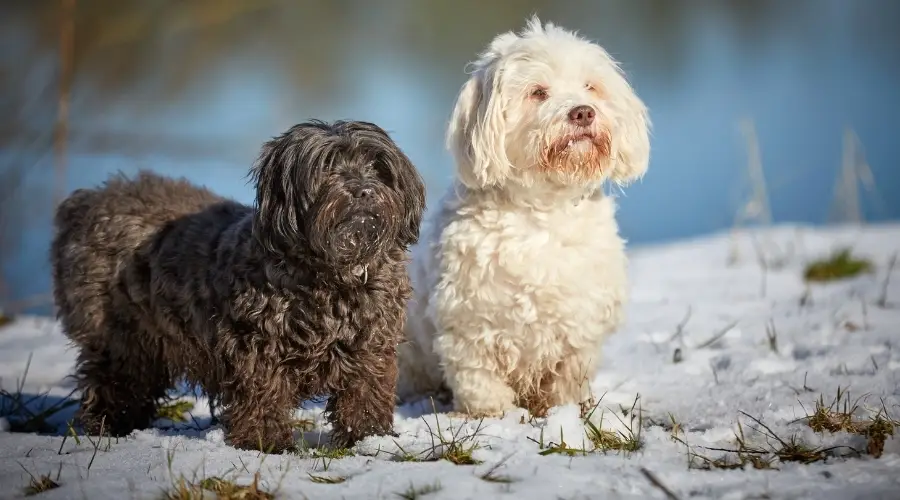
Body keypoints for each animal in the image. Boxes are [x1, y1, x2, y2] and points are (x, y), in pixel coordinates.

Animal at [400, 16, 648, 418]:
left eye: (590, 86)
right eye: (538, 92)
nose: (583, 112)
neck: (544, 211)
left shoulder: (580, 326)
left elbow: (568, 376)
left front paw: (563, 412)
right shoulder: (468, 324)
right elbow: (479, 381)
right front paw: (492, 417)